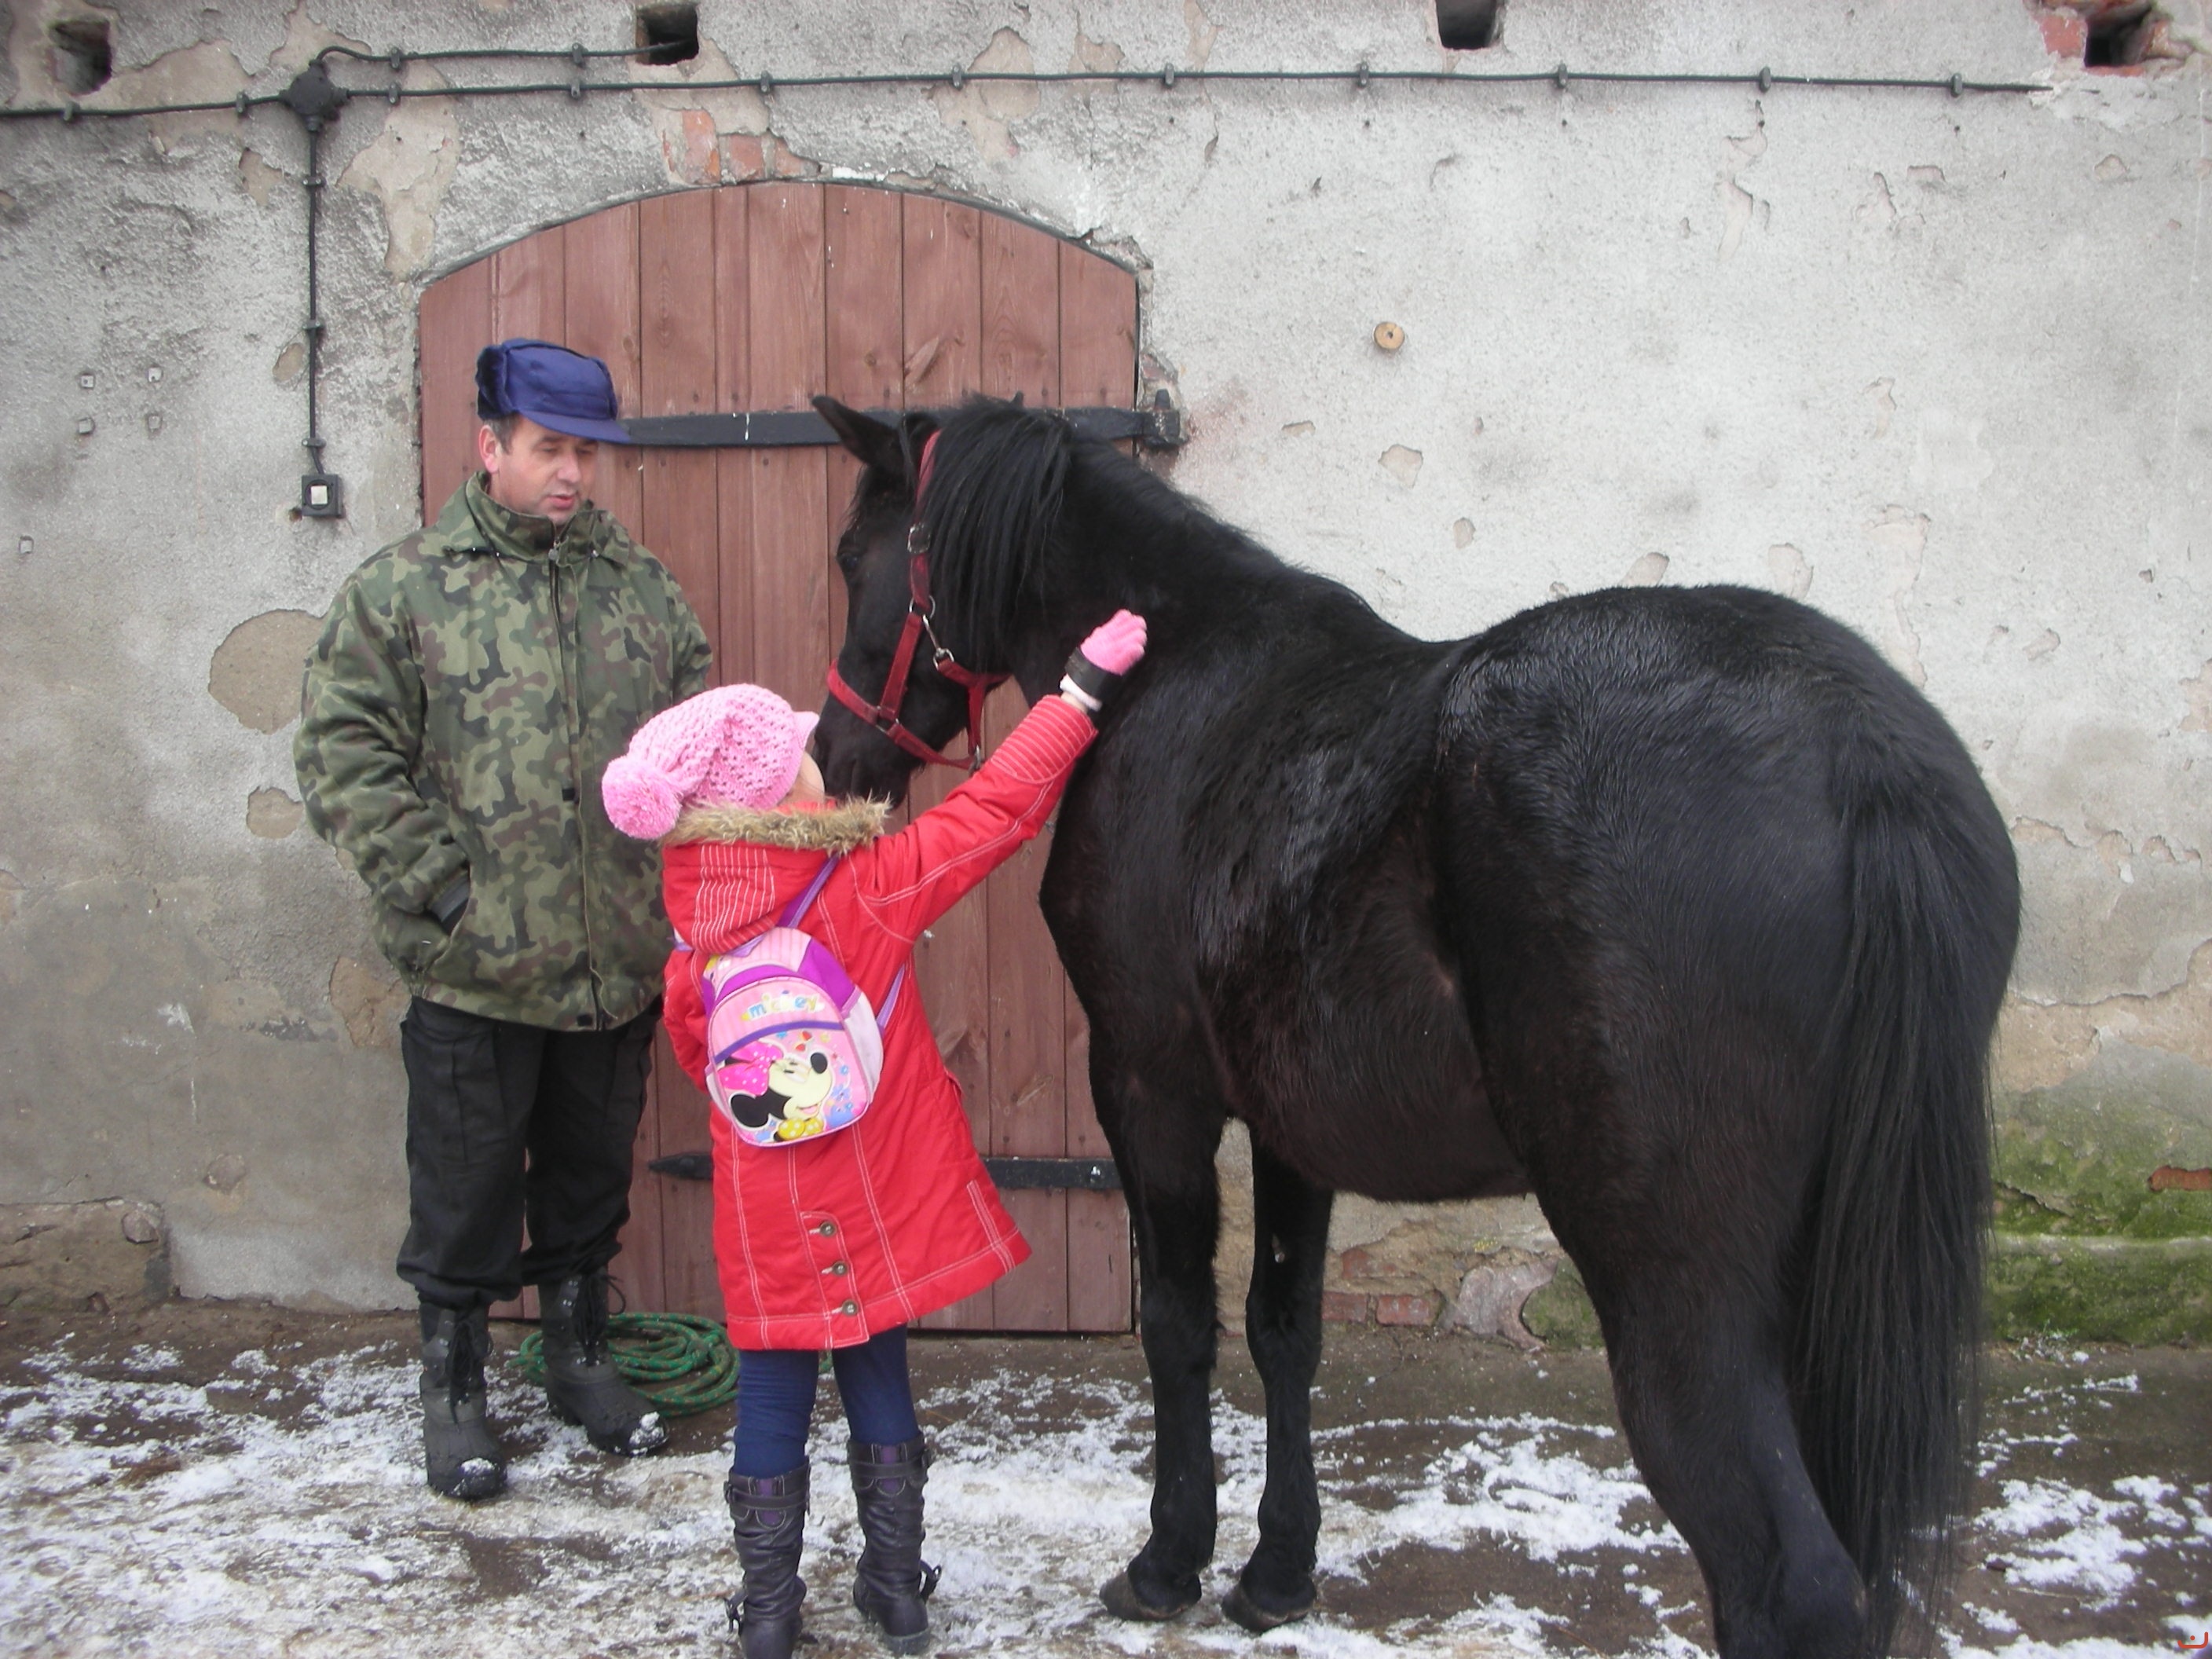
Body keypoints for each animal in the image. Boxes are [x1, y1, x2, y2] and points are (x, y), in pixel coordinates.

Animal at [807, 393, 2019, 1659]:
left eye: (853, 555)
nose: (834, 756)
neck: (1176, 680)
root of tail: (1855, 749)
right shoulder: (1288, 1124)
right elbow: (1283, 1327)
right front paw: (1276, 1572)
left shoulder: (1151, 1090)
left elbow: (1180, 1322)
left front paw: (1168, 1561)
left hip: (1677, 1286)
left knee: (1789, 1576)